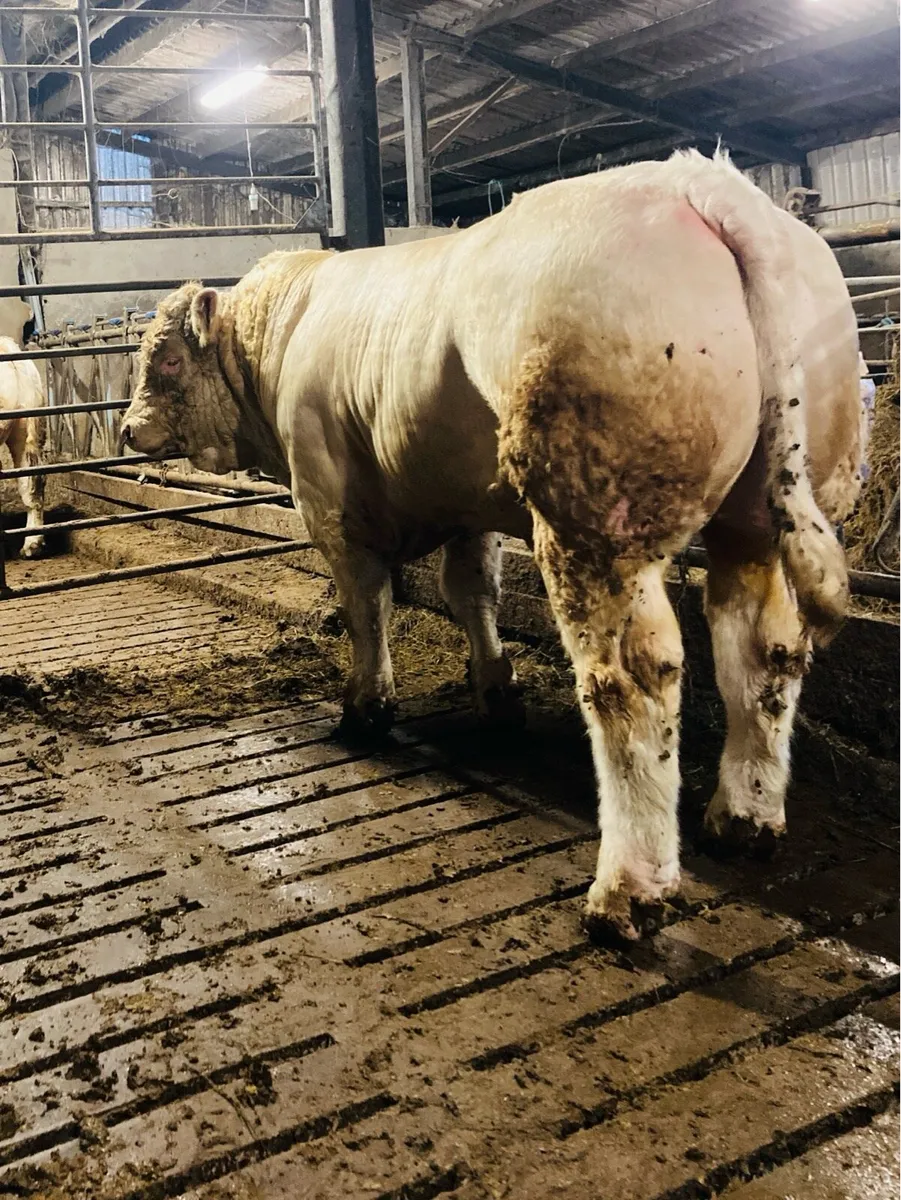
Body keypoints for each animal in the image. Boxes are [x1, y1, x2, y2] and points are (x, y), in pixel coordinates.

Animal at [121, 149, 864, 943]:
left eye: (166, 361)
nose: (128, 430)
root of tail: (697, 183)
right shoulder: (466, 499)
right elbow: (472, 591)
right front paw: (497, 692)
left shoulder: (328, 501)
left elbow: (367, 606)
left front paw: (366, 707)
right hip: (757, 519)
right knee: (764, 651)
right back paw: (744, 817)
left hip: (594, 524)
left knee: (630, 681)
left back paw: (625, 889)